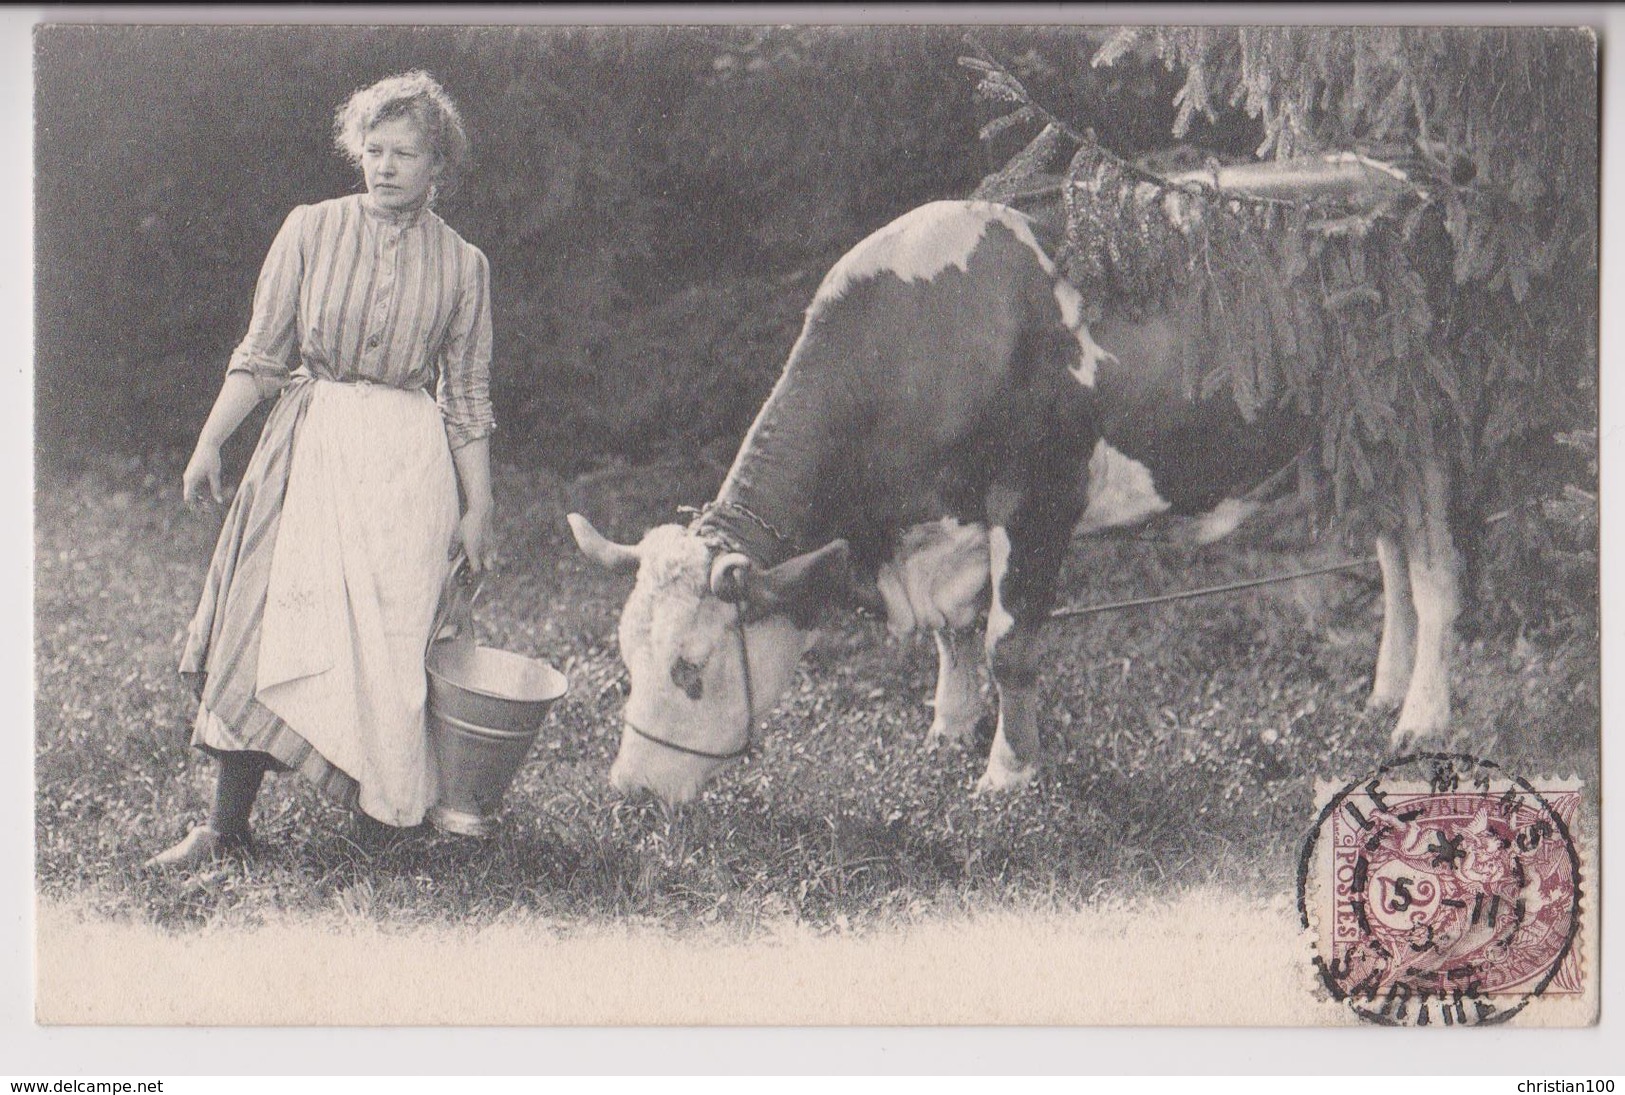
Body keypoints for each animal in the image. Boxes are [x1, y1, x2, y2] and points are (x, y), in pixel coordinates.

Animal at [568, 200, 1462, 802]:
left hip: (1429, 428)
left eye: (690, 666)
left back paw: (1420, 716)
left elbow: (1009, 643)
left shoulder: (1038, 499)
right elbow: (954, 634)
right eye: (625, 659)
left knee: (1434, 569)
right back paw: (1385, 687)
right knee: (1390, 550)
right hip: (1357, 439)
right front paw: (947, 730)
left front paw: (1007, 772)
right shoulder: (946, 522)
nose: (628, 790)